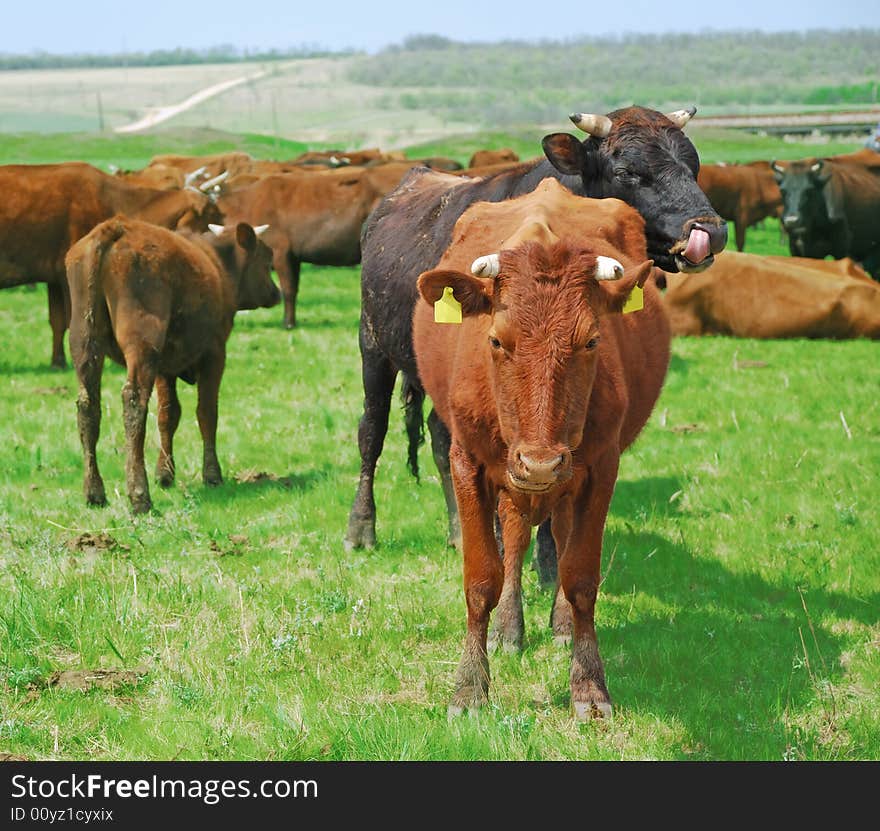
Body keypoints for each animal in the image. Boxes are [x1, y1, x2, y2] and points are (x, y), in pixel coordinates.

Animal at [67, 214, 280, 512]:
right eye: (267, 259)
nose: (276, 293)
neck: (216, 264)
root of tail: (116, 227)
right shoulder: (215, 353)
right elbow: (207, 412)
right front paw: (212, 475)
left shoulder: (165, 367)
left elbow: (168, 415)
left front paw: (165, 473)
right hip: (143, 343)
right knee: (133, 401)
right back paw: (139, 495)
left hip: (85, 341)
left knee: (88, 406)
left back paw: (94, 491)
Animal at [346, 107, 728, 576]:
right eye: (628, 172)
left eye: (694, 165)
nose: (709, 230)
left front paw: (547, 563)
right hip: (373, 346)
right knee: (372, 431)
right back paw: (361, 529)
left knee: (439, 436)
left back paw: (459, 531)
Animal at [410, 177, 668, 720]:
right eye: (495, 341)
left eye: (591, 341)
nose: (541, 463)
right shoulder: (467, 462)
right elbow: (481, 579)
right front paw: (470, 687)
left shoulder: (600, 467)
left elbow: (580, 577)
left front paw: (588, 685)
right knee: (515, 536)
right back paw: (510, 626)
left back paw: (561, 624)